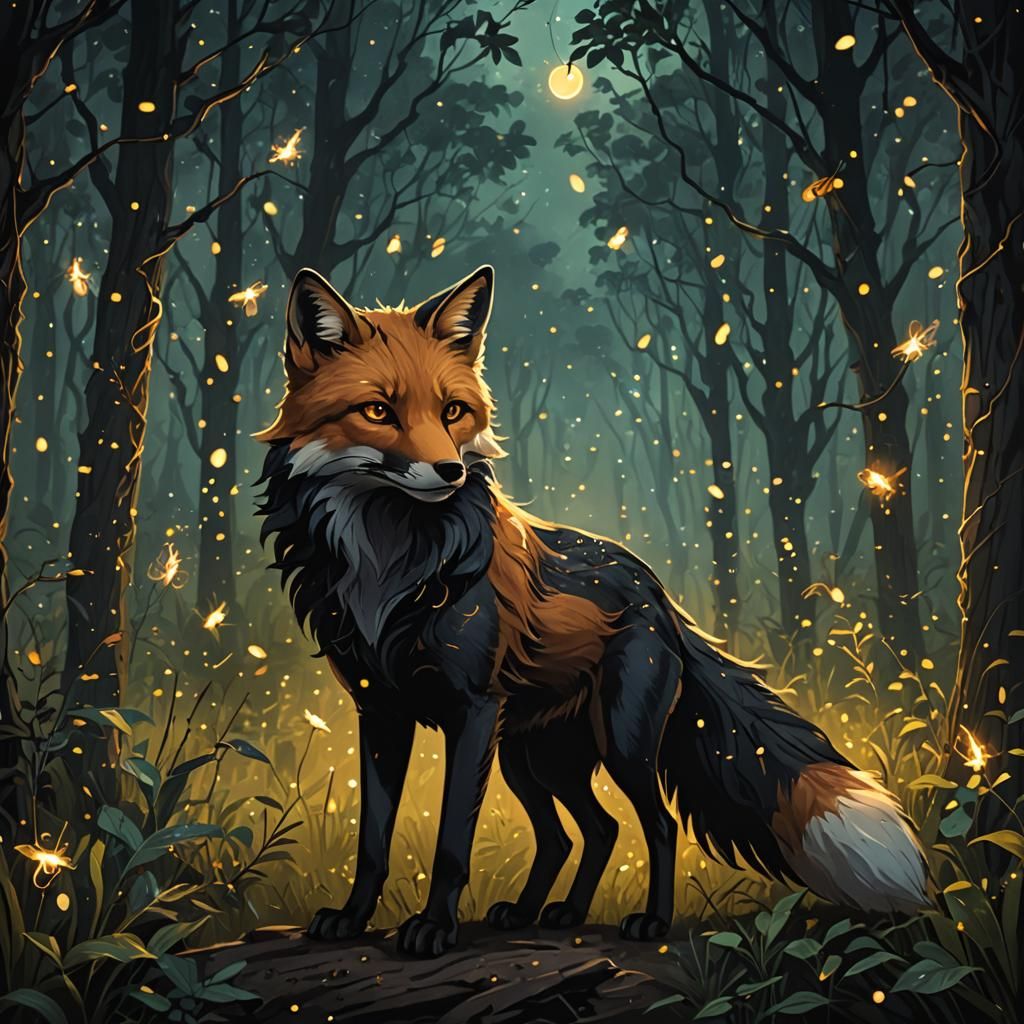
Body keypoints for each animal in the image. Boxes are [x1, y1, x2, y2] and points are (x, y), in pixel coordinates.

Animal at [256, 264, 928, 958]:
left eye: (452, 412)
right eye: (378, 411)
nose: (448, 471)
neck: (390, 564)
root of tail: (656, 590)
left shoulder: (472, 710)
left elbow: (450, 844)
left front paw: (433, 927)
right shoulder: (381, 711)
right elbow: (373, 840)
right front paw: (352, 918)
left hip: (615, 744)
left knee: (653, 824)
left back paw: (649, 922)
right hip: (532, 757)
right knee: (585, 832)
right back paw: (546, 913)